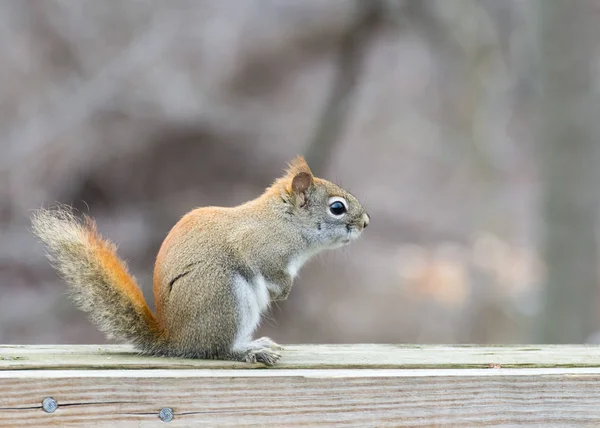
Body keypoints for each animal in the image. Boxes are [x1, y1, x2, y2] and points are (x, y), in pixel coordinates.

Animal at [34, 157, 370, 364]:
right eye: (337, 208)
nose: (366, 222)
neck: (284, 221)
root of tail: (177, 340)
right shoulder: (256, 245)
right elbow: (268, 268)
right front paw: (283, 291)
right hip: (224, 294)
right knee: (216, 350)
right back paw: (248, 352)